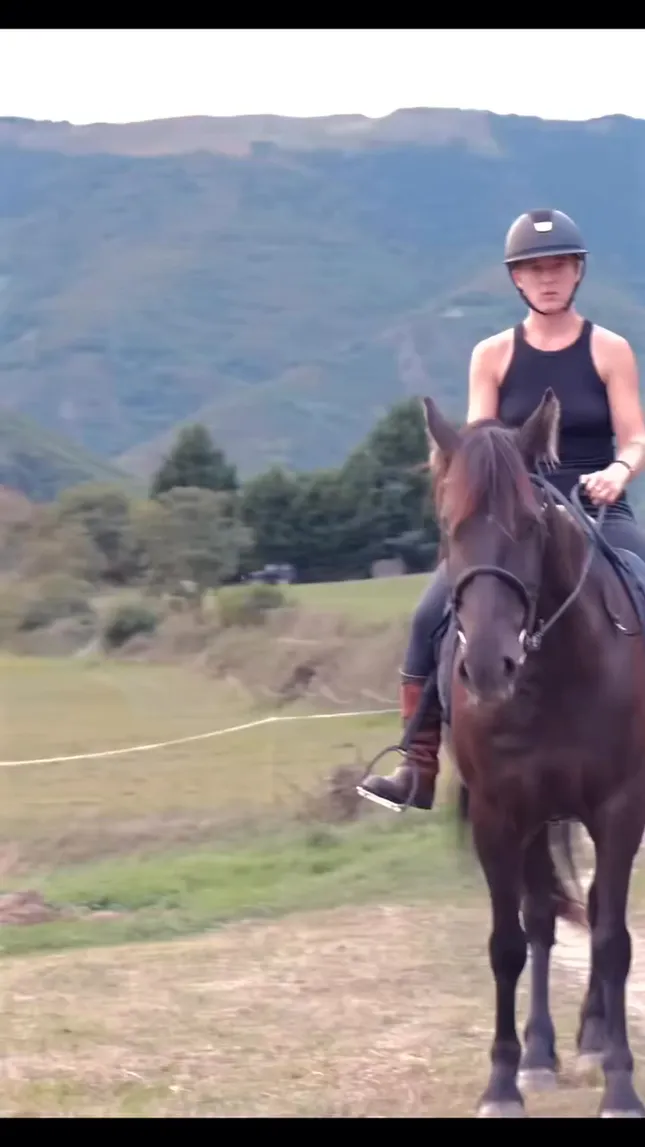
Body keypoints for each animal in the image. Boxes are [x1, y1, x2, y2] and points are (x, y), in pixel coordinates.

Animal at [422, 386, 645, 1118]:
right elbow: (509, 941)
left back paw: (594, 1038)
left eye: (529, 522)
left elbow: (611, 938)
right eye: (449, 523)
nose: (490, 668)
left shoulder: (618, 808)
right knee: (543, 918)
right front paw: (503, 1081)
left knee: (595, 913)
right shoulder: (500, 813)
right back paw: (543, 1052)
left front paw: (620, 1085)